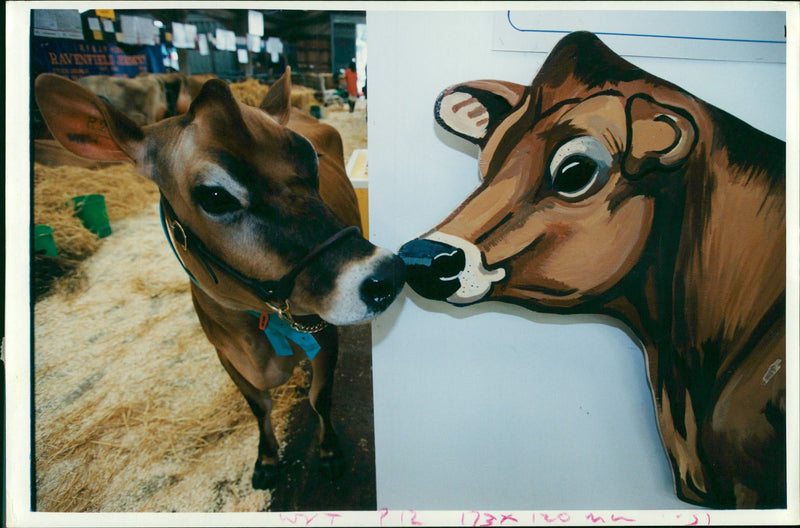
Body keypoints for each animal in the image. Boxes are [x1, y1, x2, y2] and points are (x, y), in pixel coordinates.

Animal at [33, 68, 404, 488]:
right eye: (214, 196)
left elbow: (319, 397)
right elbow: (259, 407)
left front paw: (328, 452)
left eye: (311, 159)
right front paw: (267, 459)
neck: (256, 325)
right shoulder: (224, 354)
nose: (385, 275)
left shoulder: (324, 336)